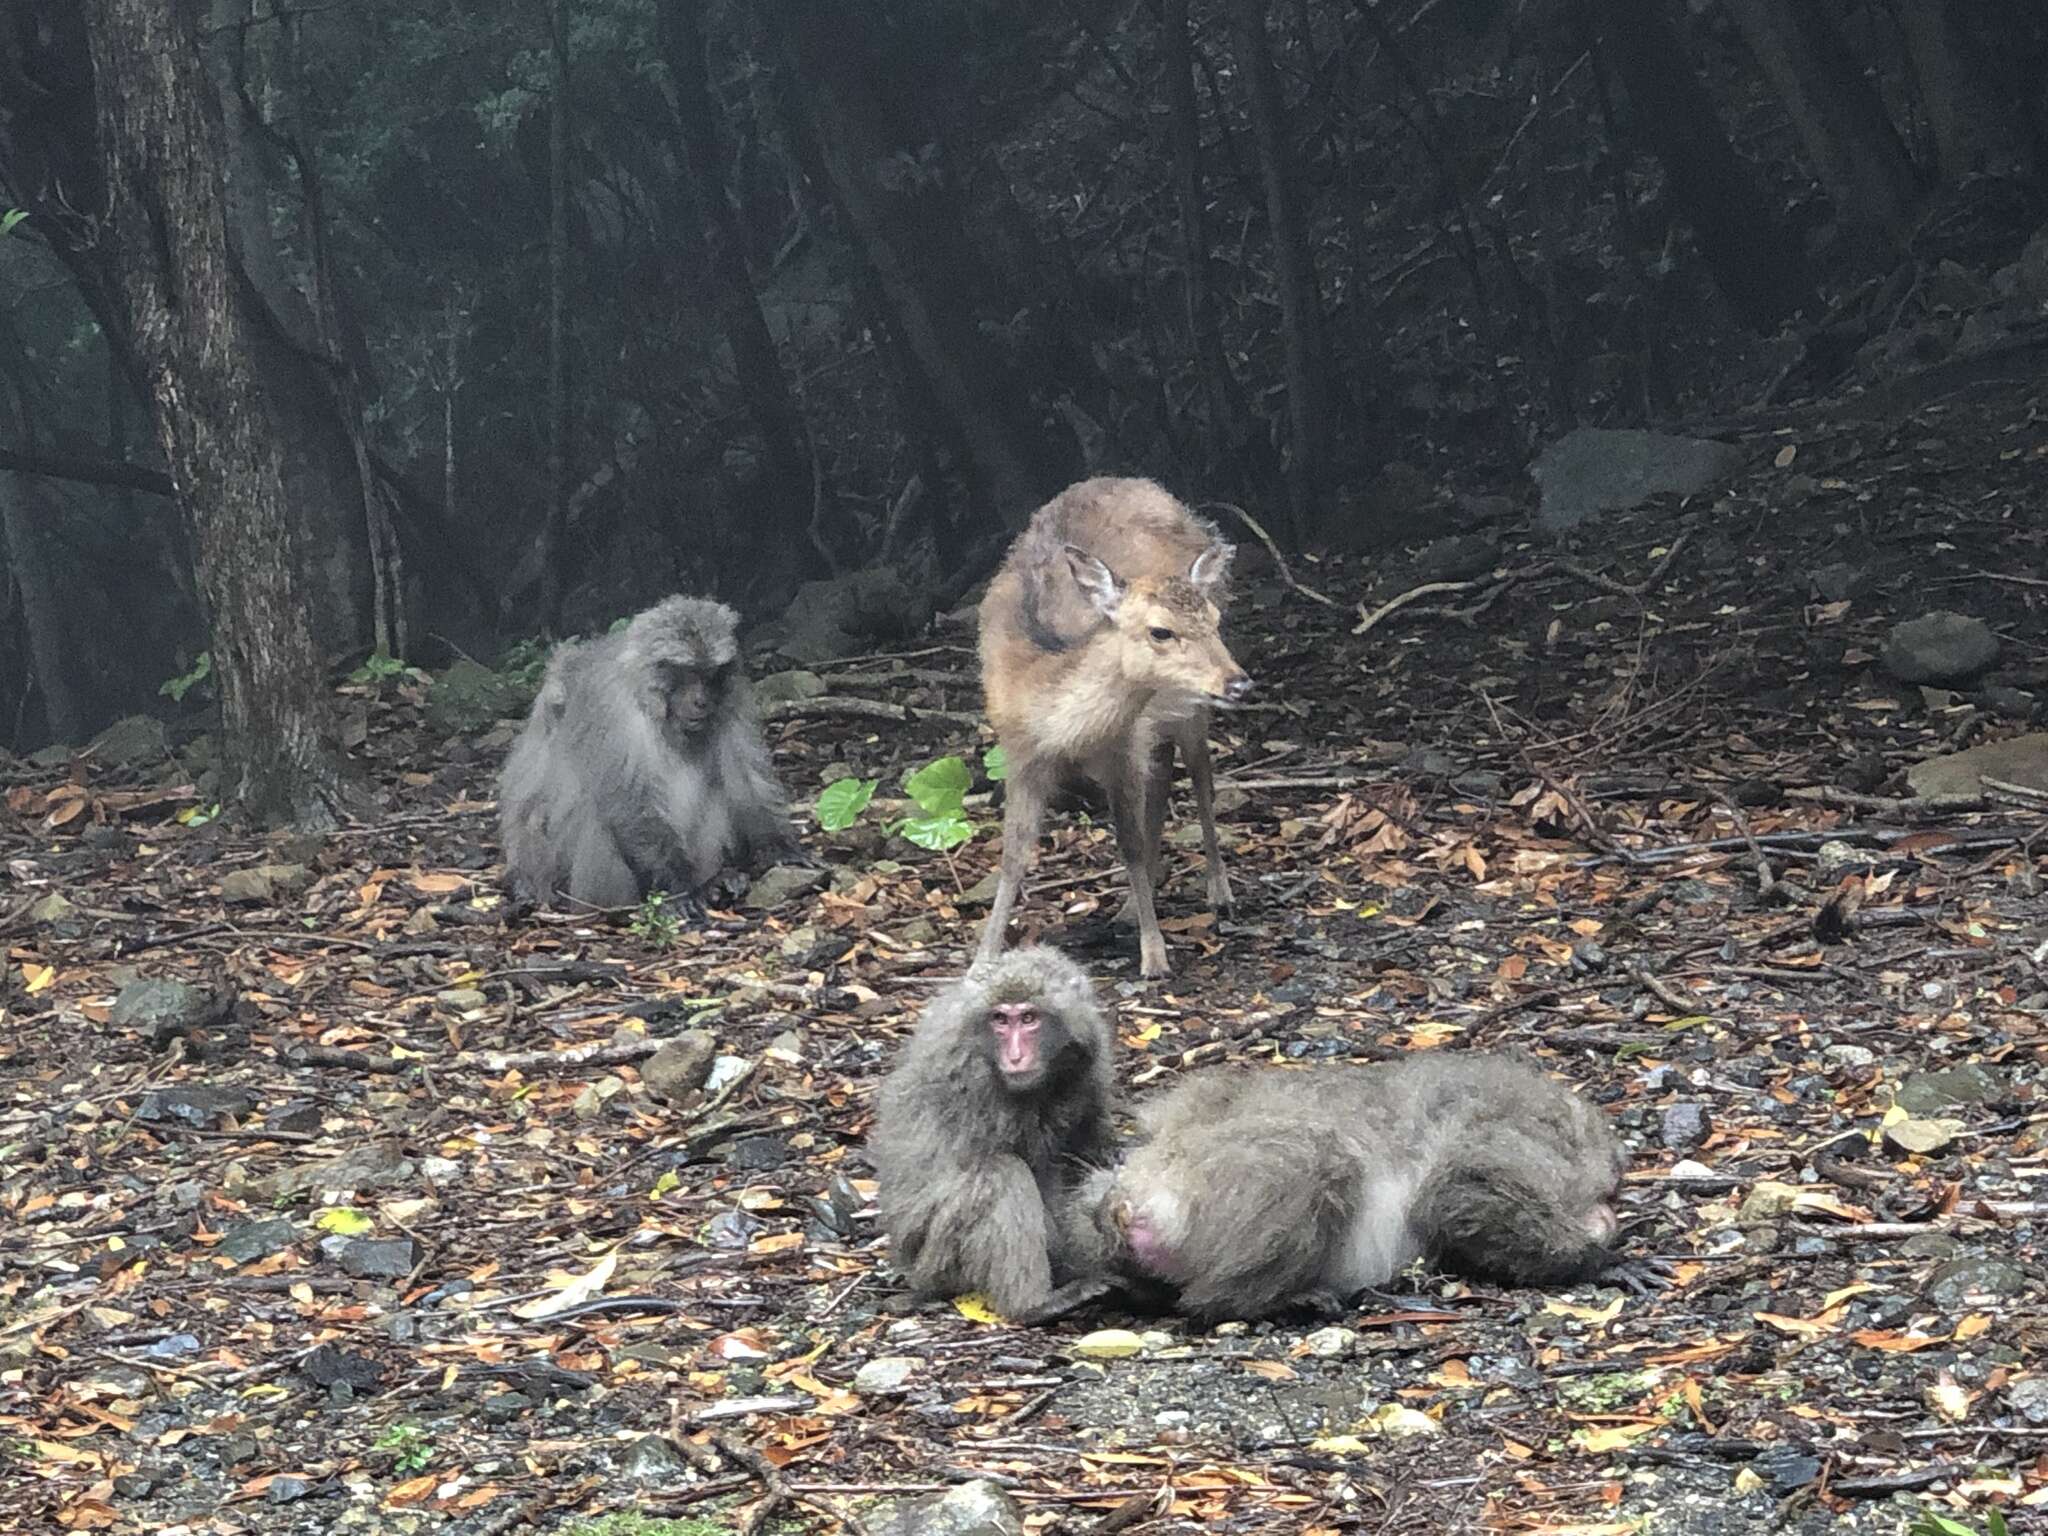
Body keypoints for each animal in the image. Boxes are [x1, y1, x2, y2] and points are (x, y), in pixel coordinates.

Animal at [495, 598, 798, 913]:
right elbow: (628, 801)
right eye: (687, 672)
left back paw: (717, 880)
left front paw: (776, 844)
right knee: (594, 815)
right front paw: (681, 884)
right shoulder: (611, 705)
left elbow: (744, 777)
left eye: (710, 675)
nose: (701, 701)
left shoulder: (732, 696)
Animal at [868, 950, 1122, 1327]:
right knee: (1000, 1172)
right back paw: (1032, 1307)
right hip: (937, 1260)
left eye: (1029, 1018)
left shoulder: (1090, 1064)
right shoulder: (973, 1083)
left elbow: (1075, 1151)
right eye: (1000, 1020)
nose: (1015, 1056)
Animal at [1073, 1056, 1630, 1327]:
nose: (1607, 1212)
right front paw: (1599, 1260)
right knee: (1322, 1157)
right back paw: (1264, 1302)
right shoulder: (1517, 1136)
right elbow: (1451, 1195)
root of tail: (1130, 1191)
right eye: (1607, 1191)